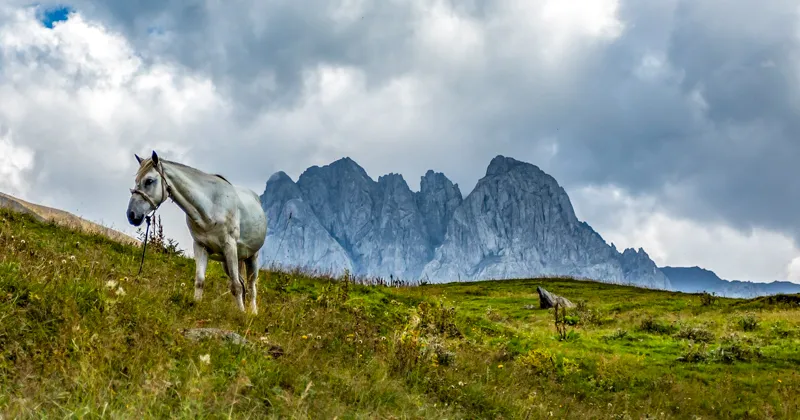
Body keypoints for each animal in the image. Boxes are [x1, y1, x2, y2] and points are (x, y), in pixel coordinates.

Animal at [126, 149, 268, 314]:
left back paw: (252, 313)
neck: (210, 207)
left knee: (251, 286)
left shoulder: (229, 246)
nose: (131, 215)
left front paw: (241, 315)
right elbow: (200, 281)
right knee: (243, 283)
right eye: (136, 180)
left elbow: (236, 286)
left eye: (149, 181)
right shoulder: (201, 246)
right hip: (228, 261)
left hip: (251, 257)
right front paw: (196, 305)